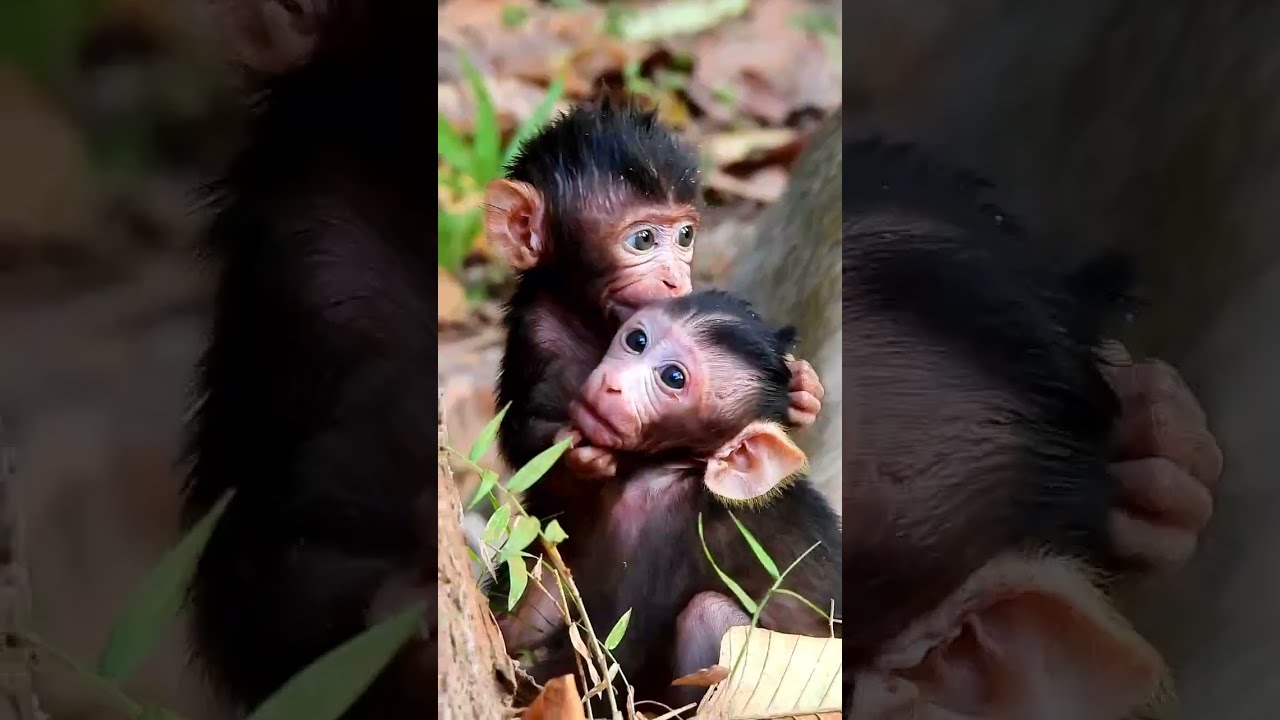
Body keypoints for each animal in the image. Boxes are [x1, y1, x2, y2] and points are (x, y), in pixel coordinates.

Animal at [485, 97, 825, 486]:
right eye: (643, 240)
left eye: (685, 236)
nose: (675, 279)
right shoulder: (538, 335)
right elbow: (526, 449)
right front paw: (579, 453)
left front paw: (804, 391)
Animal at [494, 290, 841, 715]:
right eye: (637, 341)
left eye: (673, 378)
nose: (612, 385)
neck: (671, 467)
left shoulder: (662, 526)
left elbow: (614, 655)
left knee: (707, 614)